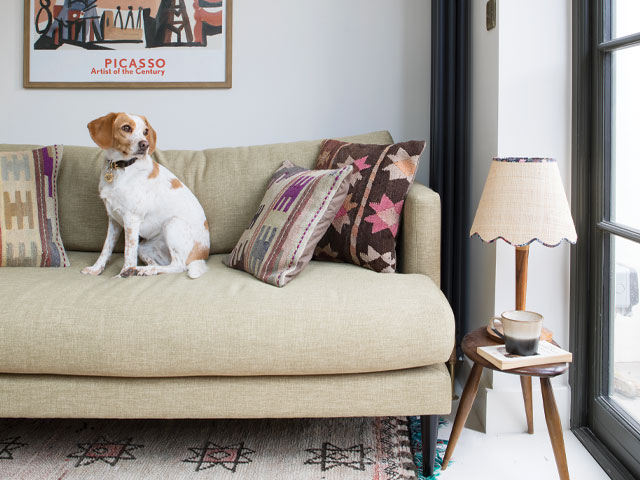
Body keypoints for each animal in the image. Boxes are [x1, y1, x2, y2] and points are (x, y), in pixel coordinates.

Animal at [82, 112, 210, 278]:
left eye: (145, 131)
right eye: (126, 128)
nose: (145, 144)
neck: (121, 168)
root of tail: (202, 254)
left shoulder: (131, 220)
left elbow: (128, 253)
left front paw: (122, 275)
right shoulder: (114, 221)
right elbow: (106, 249)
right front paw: (96, 269)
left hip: (172, 224)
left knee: (178, 266)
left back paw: (141, 270)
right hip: (144, 247)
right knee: (157, 263)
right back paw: (143, 270)